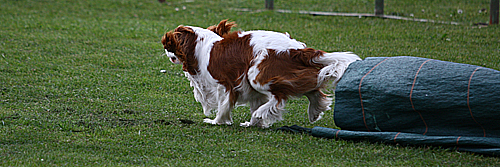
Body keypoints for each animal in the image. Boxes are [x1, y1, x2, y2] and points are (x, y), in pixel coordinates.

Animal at [160, 20, 360, 128]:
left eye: (169, 45)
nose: (165, 51)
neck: (203, 47)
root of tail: (297, 49)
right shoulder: (249, 89)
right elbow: (255, 101)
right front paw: (253, 123)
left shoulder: (225, 84)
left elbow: (224, 105)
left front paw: (217, 121)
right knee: (312, 87)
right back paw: (315, 109)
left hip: (257, 74)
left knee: (280, 97)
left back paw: (262, 113)